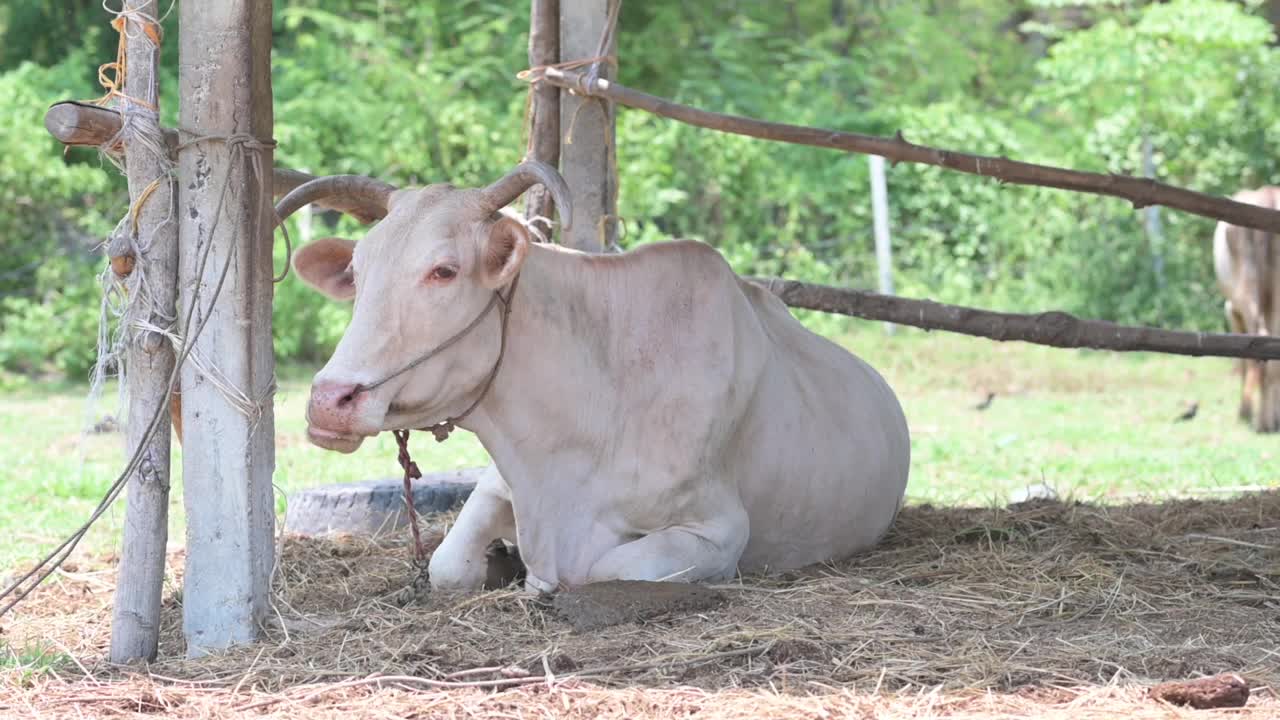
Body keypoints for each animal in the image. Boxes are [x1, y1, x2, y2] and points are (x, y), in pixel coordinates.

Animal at [282, 159, 911, 591]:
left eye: (444, 270)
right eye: (357, 270)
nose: (330, 400)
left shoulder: (720, 529)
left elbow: (609, 568)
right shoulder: (498, 481)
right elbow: (446, 565)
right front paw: (497, 557)